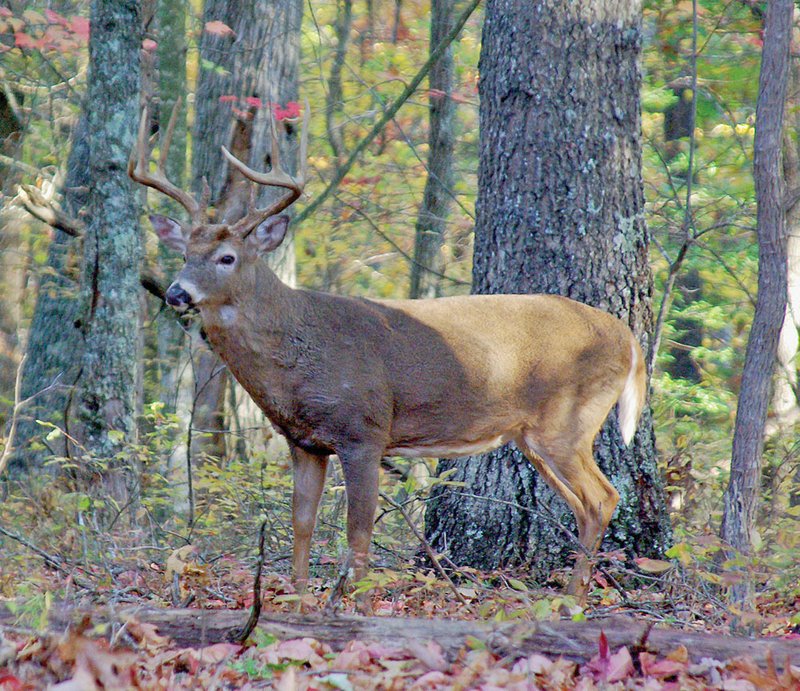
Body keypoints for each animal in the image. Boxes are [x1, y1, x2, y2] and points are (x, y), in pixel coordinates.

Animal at [130, 100, 644, 608]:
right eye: (184, 254)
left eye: (227, 258)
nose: (176, 292)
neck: (298, 359)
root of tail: (628, 338)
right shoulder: (303, 441)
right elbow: (302, 526)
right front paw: (296, 606)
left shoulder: (365, 430)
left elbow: (358, 535)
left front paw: (357, 609)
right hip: (532, 436)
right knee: (585, 506)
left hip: (568, 420)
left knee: (603, 498)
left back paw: (572, 603)